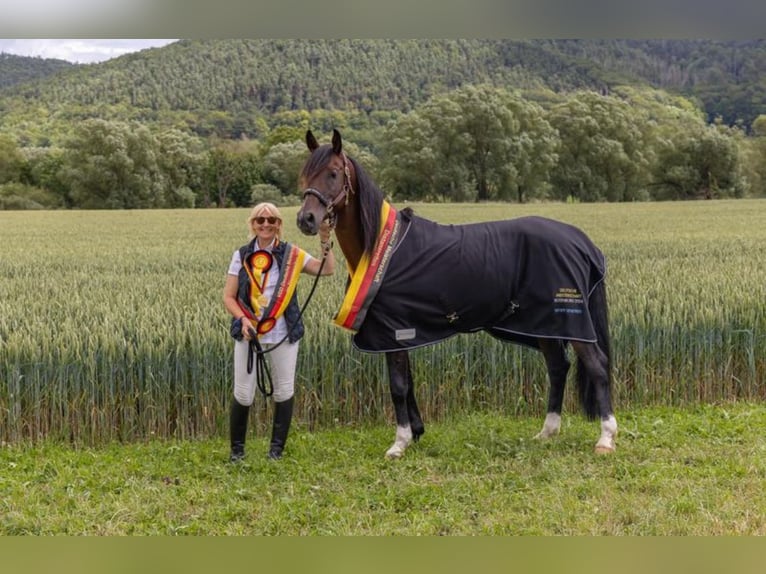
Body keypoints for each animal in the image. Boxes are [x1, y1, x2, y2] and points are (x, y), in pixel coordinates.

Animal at [296, 129, 616, 460]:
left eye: (333, 173)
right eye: (304, 173)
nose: (306, 219)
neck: (384, 248)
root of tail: (580, 240)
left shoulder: (393, 331)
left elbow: (397, 386)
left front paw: (399, 443)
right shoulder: (403, 333)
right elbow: (408, 382)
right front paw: (416, 432)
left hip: (570, 321)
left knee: (597, 366)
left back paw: (605, 438)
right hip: (546, 325)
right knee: (558, 367)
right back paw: (547, 432)